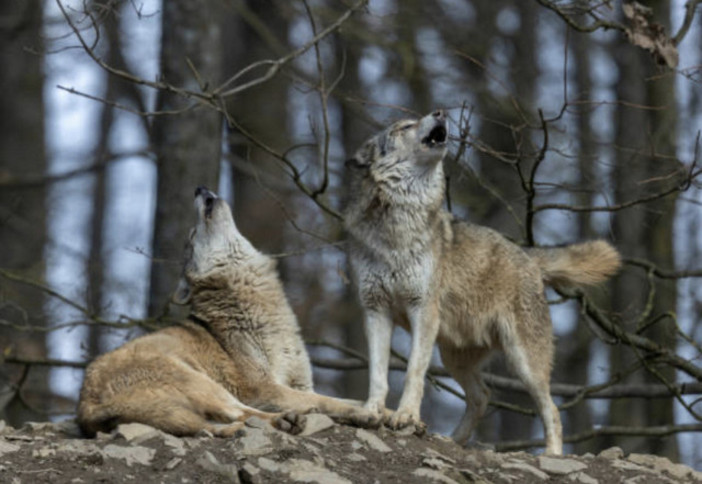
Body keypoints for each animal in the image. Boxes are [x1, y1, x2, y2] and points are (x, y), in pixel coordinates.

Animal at [78, 187, 380, 436]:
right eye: (192, 234)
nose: (199, 188)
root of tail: (85, 405)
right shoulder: (265, 388)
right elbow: (326, 400)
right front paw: (364, 413)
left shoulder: (301, 383)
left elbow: (338, 398)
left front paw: (377, 410)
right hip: (202, 382)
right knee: (243, 414)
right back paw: (285, 420)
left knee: (214, 424)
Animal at [344, 110, 624, 454]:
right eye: (405, 126)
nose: (440, 112)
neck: (397, 226)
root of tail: (528, 255)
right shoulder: (375, 311)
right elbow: (378, 373)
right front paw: (371, 411)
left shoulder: (422, 310)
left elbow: (413, 372)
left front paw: (406, 416)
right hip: (454, 357)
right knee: (483, 396)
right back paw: (452, 440)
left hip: (523, 362)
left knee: (552, 410)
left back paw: (552, 455)